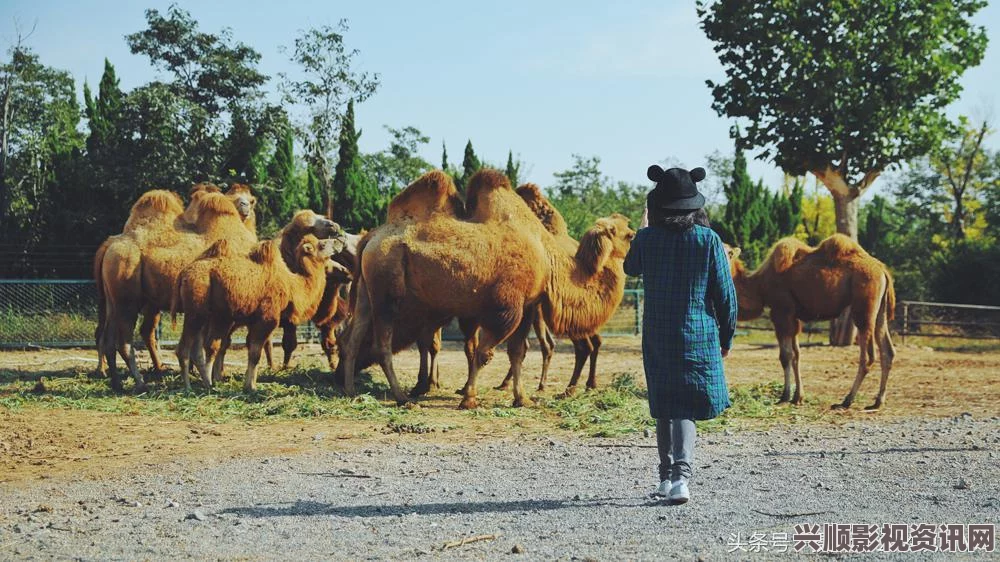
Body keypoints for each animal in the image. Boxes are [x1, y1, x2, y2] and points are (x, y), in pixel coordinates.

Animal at [340, 167, 552, 406]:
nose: (335, 376)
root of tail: (371, 238)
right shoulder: (506, 306)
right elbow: (482, 351)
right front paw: (468, 397)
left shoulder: (522, 306)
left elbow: (513, 351)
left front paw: (521, 399)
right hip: (386, 288)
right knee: (382, 345)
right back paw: (402, 397)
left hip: (367, 291)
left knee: (354, 336)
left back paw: (351, 391)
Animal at [728, 234, 900, 410]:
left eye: (729, 252)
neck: (760, 287)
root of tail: (883, 270)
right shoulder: (794, 317)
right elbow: (796, 355)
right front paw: (798, 397)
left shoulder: (781, 312)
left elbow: (785, 356)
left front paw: (785, 396)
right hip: (880, 311)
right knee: (887, 351)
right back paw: (878, 402)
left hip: (864, 309)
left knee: (868, 356)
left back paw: (846, 401)